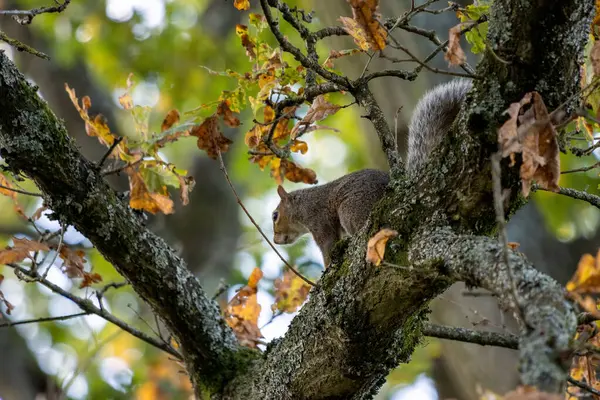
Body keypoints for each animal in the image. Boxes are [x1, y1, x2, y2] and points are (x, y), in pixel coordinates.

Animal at [274, 78, 474, 268]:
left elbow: (328, 247)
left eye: (275, 216)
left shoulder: (318, 219)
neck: (302, 206)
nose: (276, 241)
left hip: (350, 210)